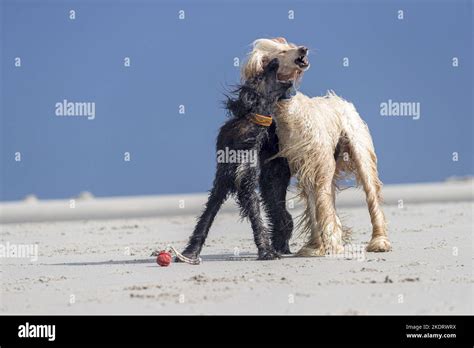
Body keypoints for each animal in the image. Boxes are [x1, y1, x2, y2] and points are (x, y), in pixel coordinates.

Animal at [181, 58, 292, 260]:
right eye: (259, 76)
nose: (274, 60)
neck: (249, 126)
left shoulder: (245, 178)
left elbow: (256, 216)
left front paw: (266, 250)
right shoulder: (224, 178)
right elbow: (207, 217)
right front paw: (190, 252)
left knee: (281, 214)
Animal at [243, 38, 390, 256]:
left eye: (290, 45)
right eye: (282, 52)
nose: (303, 49)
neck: (289, 111)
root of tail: (340, 100)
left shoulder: (319, 163)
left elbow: (322, 203)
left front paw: (331, 243)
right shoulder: (302, 165)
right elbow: (315, 206)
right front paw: (319, 245)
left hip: (360, 150)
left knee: (371, 194)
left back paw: (379, 241)